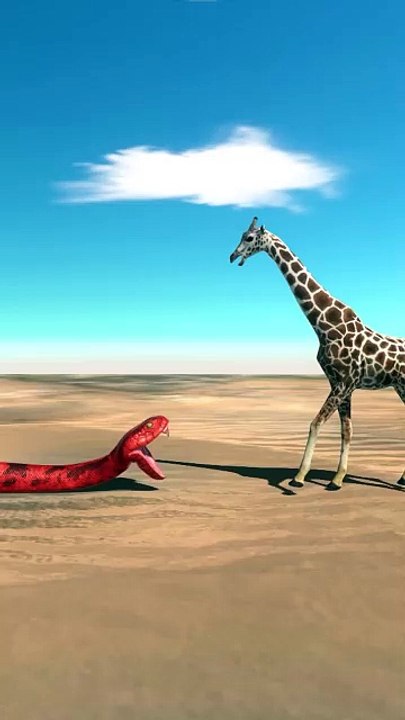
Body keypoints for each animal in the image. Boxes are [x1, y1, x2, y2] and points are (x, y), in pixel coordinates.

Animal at [230, 217, 405, 490]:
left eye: (249, 238)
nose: (232, 255)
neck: (323, 323)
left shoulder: (344, 382)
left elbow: (316, 423)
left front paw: (299, 477)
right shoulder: (341, 383)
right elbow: (346, 430)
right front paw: (337, 479)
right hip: (400, 387)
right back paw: (402, 479)